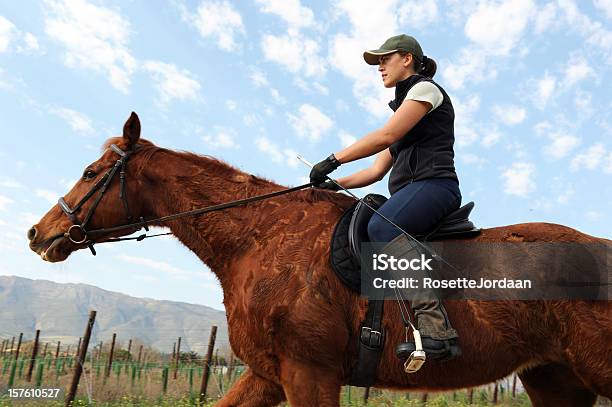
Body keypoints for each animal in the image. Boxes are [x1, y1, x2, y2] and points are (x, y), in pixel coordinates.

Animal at [29, 113, 612, 406]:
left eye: (90, 172)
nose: (39, 233)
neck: (261, 237)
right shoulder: (268, 375)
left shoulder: (310, 374)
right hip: (556, 381)